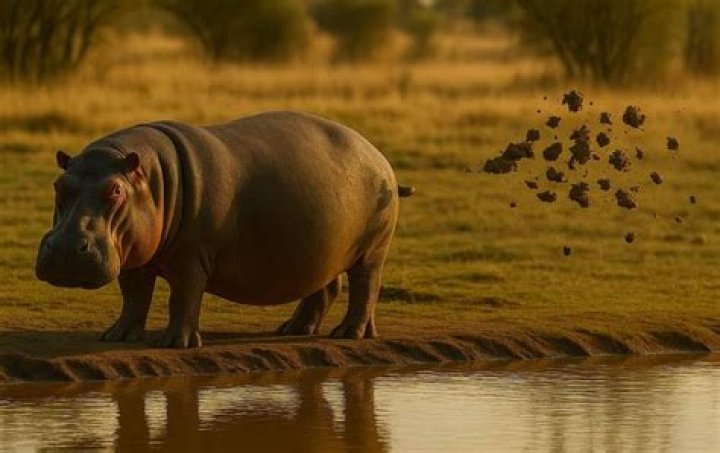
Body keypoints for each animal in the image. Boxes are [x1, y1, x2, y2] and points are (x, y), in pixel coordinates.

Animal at [35, 111, 414, 348]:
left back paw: (347, 334)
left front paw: (173, 343)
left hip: (372, 250)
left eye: (115, 190)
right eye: (58, 184)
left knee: (366, 286)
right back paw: (293, 329)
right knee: (324, 287)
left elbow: (183, 297)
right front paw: (116, 336)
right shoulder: (134, 254)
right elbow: (134, 296)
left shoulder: (191, 257)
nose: (66, 248)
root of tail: (379, 156)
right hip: (321, 249)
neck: (151, 179)